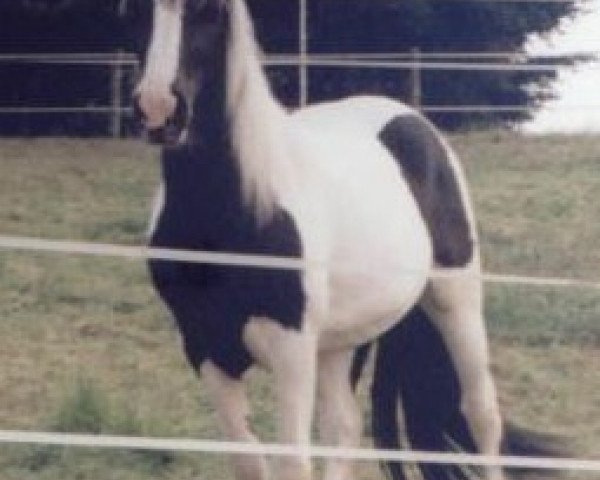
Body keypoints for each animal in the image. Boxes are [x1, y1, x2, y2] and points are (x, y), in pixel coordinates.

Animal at [129, 0, 560, 480]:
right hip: (342, 343)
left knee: (482, 415)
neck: (238, 210)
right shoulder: (204, 346)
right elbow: (250, 460)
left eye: (210, 12)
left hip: (456, 298)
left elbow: (292, 460)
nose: (159, 109)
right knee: (344, 428)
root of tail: (416, 125)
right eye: (137, 9)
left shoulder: (292, 347)